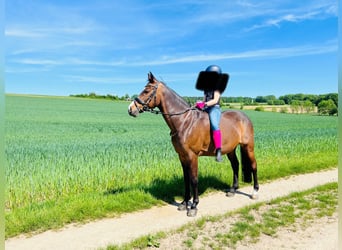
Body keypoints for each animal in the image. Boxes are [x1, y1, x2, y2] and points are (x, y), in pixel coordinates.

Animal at [128, 72, 260, 217]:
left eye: (146, 91)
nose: (131, 109)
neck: (184, 122)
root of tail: (244, 117)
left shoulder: (192, 156)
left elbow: (194, 179)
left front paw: (194, 206)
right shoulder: (182, 156)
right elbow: (186, 179)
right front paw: (184, 202)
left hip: (248, 147)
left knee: (253, 165)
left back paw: (255, 192)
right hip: (231, 149)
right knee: (235, 165)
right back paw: (233, 190)